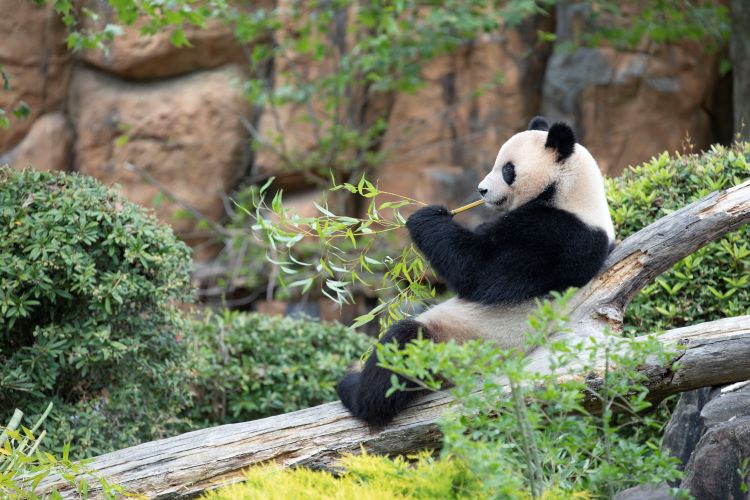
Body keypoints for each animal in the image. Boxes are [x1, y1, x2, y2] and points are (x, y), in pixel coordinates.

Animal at [338, 117, 612, 426]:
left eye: (507, 169)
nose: (482, 190)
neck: (569, 191)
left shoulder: (558, 237)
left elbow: (479, 271)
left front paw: (426, 216)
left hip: (452, 347)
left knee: (403, 344)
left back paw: (353, 391)